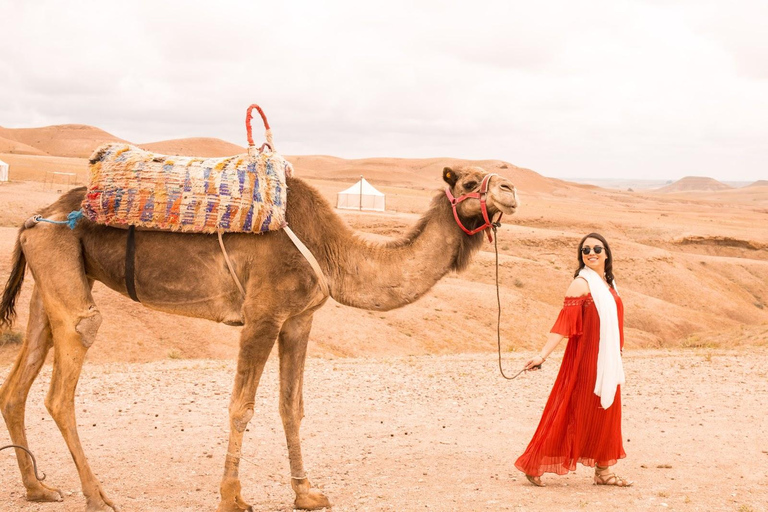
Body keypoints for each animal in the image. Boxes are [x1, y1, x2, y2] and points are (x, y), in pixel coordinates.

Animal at [0, 166, 520, 510]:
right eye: (470, 183)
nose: (511, 190)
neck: (332, 251)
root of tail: (34, 218)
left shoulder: (298, 320)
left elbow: (292, 407)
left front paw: (307, 492)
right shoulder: (263, 315)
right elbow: (241, 407)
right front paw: (232, 497)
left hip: (52, 280)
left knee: (17, 385)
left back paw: (39, 488)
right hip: (65, 276)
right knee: (64, 378)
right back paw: (97, 495)